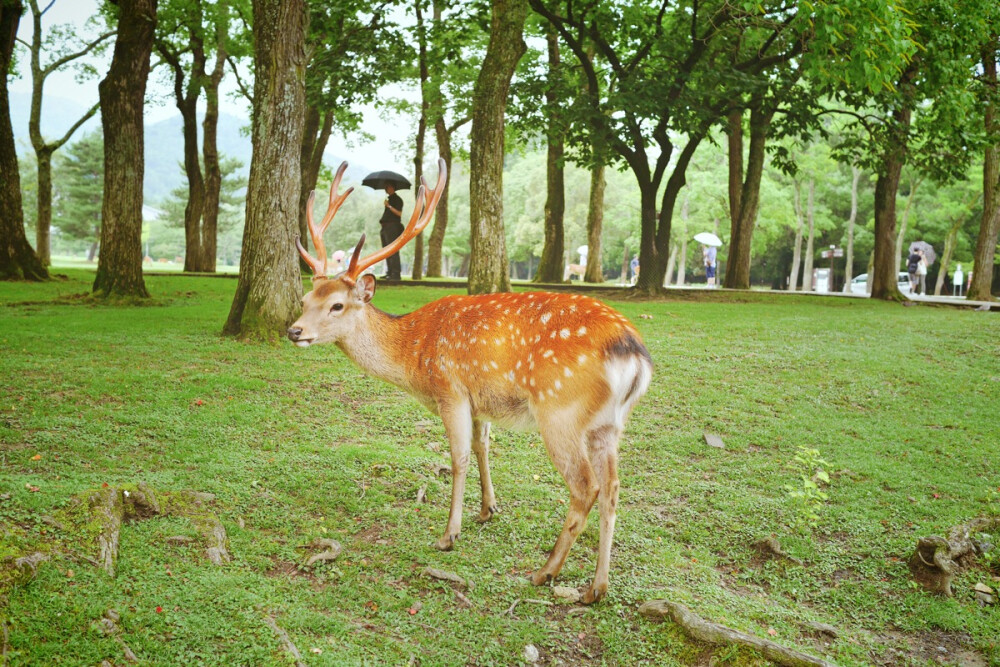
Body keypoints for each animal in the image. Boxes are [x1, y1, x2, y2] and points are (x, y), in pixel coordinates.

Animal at [286, 158, 652, 604]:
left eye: (337, 305)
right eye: (306, 299)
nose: (294, 331)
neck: (415, 355)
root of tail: (632, 352)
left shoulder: (451, 391)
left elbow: (458, 457)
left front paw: (448, 534)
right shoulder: (480, 402)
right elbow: (482, 447)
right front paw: (487, 509)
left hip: (560, 412)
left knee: (586, 487)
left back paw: (544, 572)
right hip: (609, 424)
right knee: (613, 487)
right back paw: (596, 588)